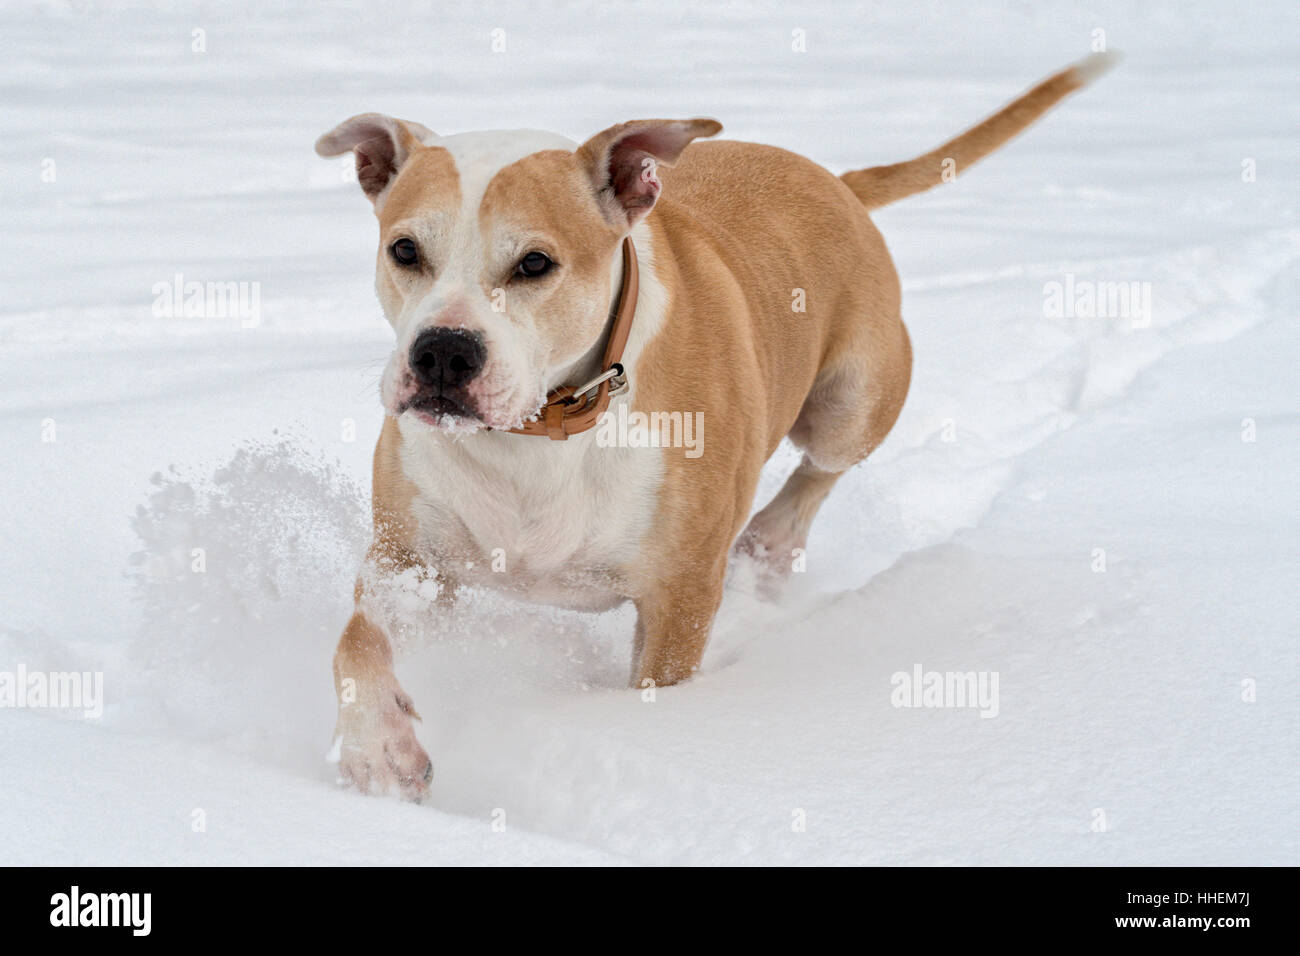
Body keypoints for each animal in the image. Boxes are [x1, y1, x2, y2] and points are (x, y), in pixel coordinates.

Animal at [317, 52, 1118, 801]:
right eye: (405, 250)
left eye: (535, 263)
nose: (443, 352)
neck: (544, 427)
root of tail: (838, 181)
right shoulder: (409, 558)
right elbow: (357, 644)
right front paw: (379, 751)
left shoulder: (679, 594)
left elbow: (658, 684)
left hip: (855, 399)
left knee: (822, 466)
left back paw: (770, 543)